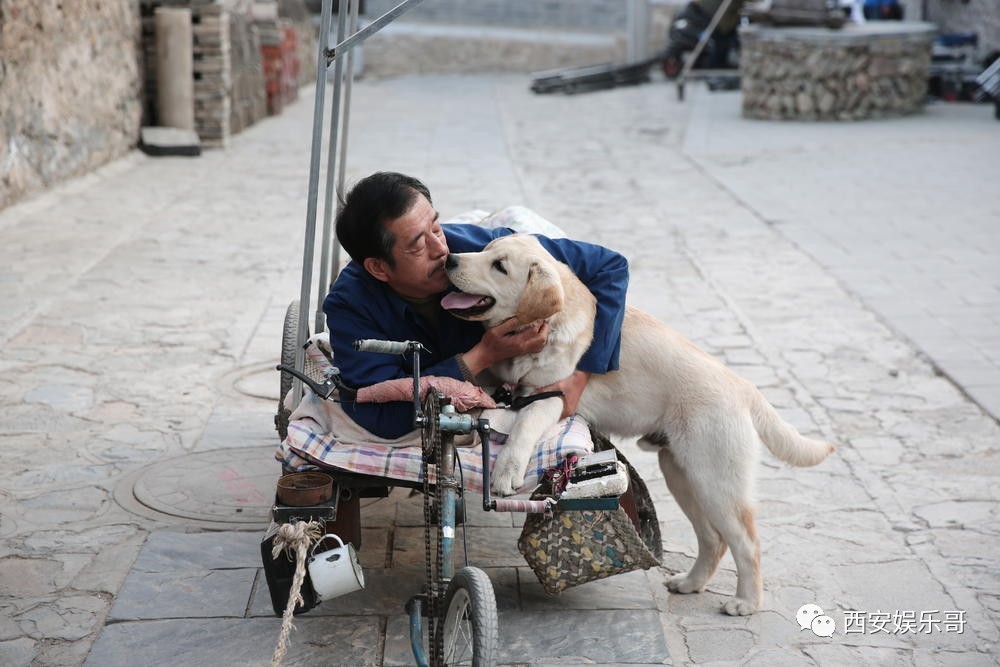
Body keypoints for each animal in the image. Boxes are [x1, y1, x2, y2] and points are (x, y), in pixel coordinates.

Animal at [442, 235, 832, 616]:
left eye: (499, 266)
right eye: (485, 249)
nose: (449, 259)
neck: (548, 325)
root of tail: (744, 386)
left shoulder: (550, 397)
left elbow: (522, 427)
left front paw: (506, 471)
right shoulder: (500, 382)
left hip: (716, 480)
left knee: (747, 542)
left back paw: (746, 602)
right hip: (681, 474)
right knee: (714, 539)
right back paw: (691, 583)